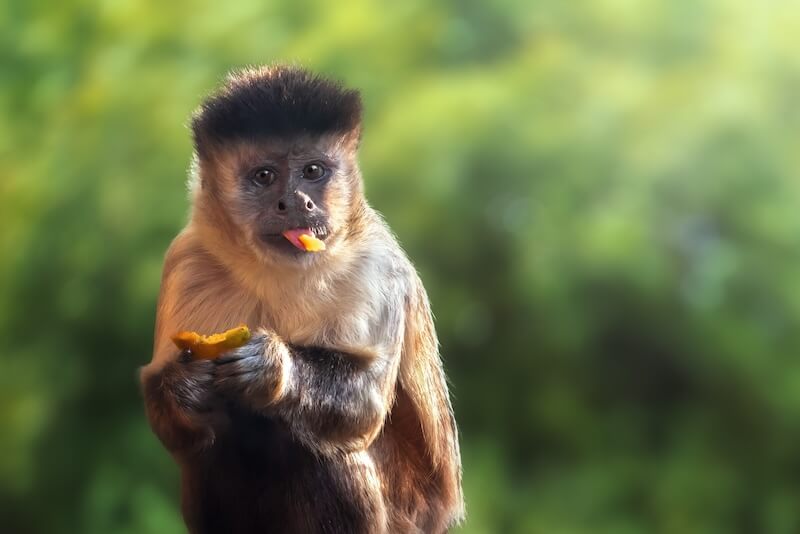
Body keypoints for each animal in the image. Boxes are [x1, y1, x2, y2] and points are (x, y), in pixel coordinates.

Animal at [139, 65, 464, 533]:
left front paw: (273, 365)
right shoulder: (187, 262)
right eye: (264, 176)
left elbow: (365, 403)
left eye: (313, 171)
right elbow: (169, 413)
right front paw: (184, 385)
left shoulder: (376, 265)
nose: (296, 202)